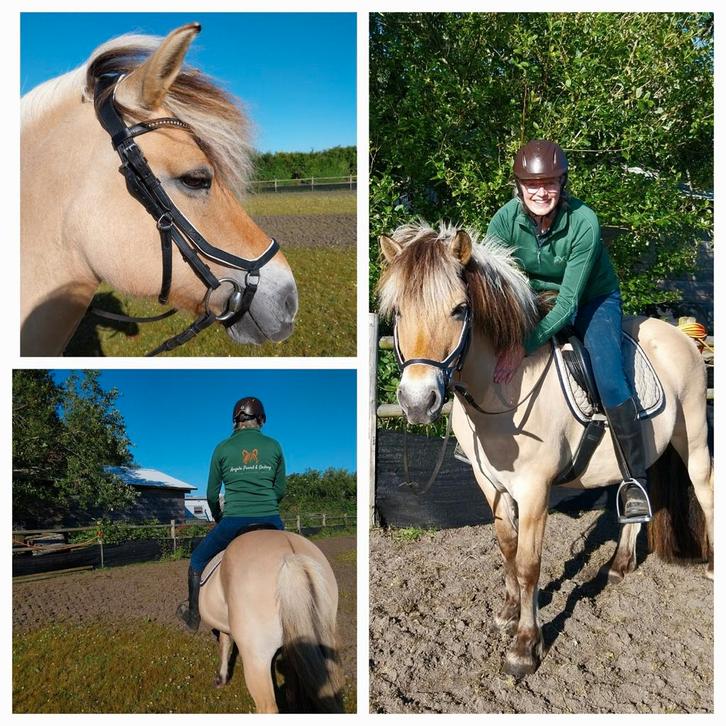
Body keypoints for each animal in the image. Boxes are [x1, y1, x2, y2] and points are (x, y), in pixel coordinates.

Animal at [378, 221, 713, 678]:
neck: (504, 388)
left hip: (693, 437)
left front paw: (525, 646)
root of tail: (680, 337)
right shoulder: (490, 484)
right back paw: (619, 566)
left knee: (707, 493)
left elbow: (528, 563)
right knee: (636, 492)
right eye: (397, 313)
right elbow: (507, 548)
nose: (416, 401)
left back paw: (711, 568)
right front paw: (508, 611)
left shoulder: (534, 490)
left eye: (460, 310)